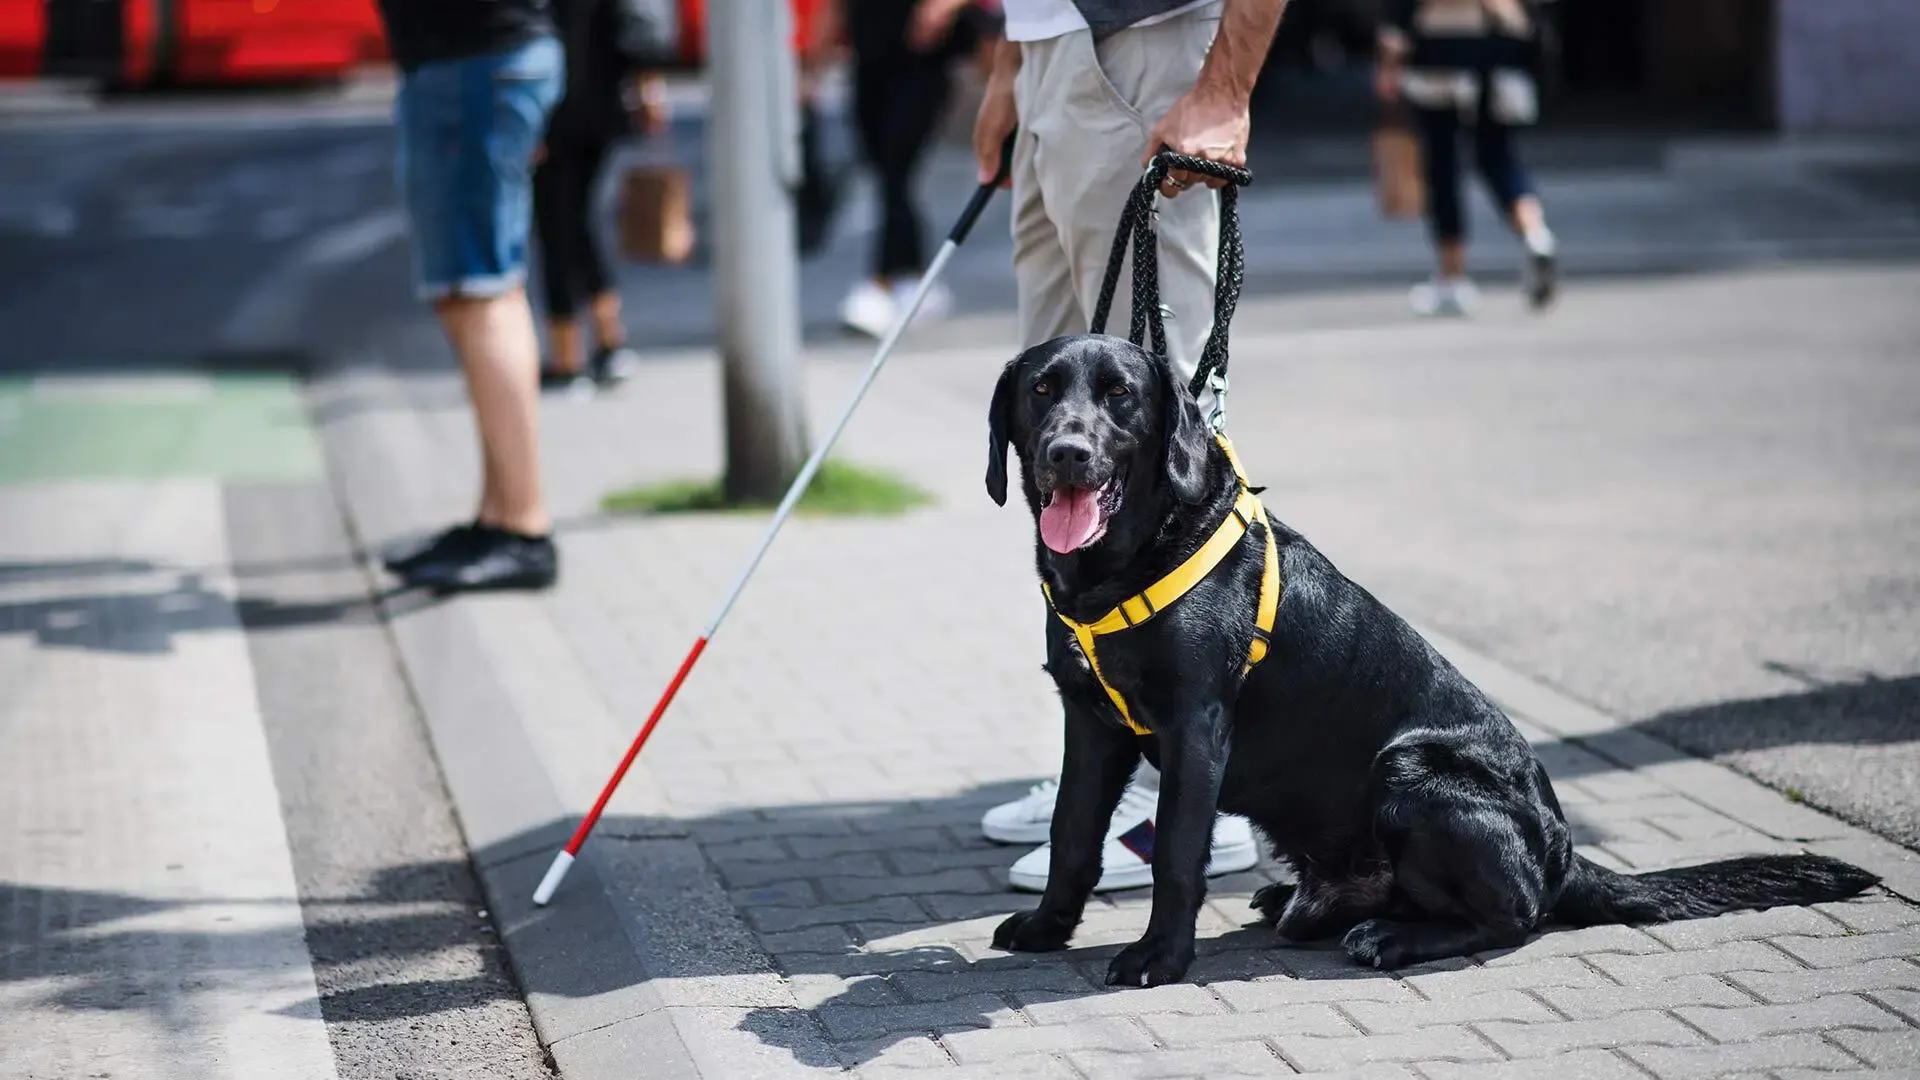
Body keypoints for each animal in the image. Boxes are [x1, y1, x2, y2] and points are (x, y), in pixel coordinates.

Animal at [983, 334, 1881, 983]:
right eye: (1042, 392)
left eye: (1120, 396)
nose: (1067, 452)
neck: (1123, 567)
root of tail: (1563, 854)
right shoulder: (1089, 723)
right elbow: (1071, 835)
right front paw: (1047, 927)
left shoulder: (1195, 728)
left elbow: (1175, 852)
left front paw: (1159, 958)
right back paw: (1302, 901)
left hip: (1412, 772)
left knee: (1514, 917)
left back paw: (1392, 938)